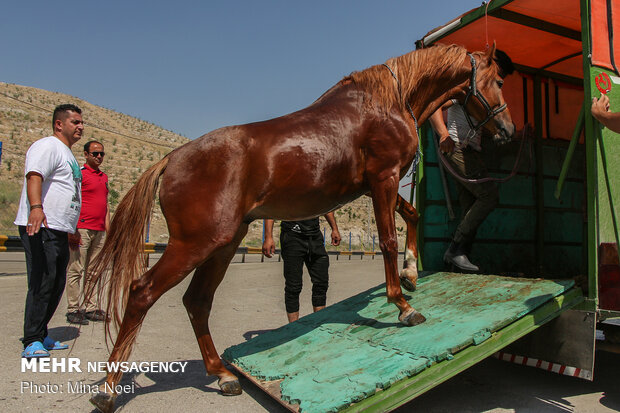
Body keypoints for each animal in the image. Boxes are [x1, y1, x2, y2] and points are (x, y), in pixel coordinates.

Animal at [88, 43, 512, 410]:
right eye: (498, 80)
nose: (508, 130)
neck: (389, 100)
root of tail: (171, 159)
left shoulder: (378, 186)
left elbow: (412, 216)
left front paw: (410, 274)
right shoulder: (384, 179)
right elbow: (388, 240)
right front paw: (403, 305)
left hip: (224, 244)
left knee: (197, 302)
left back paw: (223, 375)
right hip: (194, 245)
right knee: (142, 293)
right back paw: (108, 390)